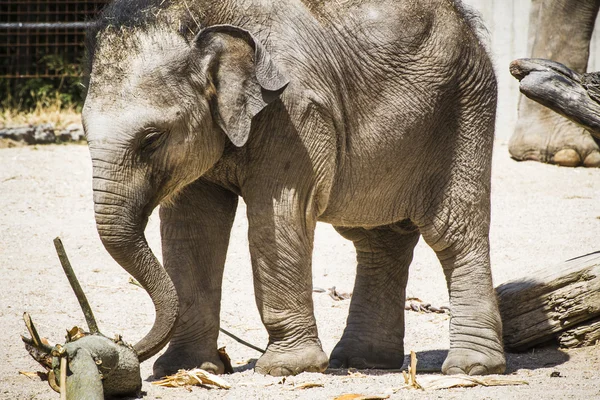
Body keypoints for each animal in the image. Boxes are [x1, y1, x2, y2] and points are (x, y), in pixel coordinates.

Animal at [83, 0, 506, 376]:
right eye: (84, 133)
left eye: (151, 139)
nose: (121, 346)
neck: (200, 16)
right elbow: (192, 227)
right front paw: (184, 369)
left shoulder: (294, 110)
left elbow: (277, 214)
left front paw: (286, 368)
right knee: (375, 238)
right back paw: (360, 361)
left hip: (464, 107)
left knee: (452, 232)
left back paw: (472, 367)